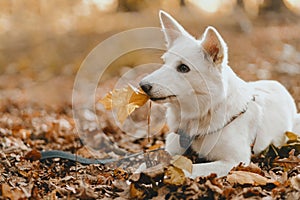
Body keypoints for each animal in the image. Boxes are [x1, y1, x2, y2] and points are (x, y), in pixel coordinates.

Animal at [139, 10, 298, 177]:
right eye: (165, 62)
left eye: (183, 68)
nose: (143, 85)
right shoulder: (171, 147)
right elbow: (144, 164)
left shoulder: (235, 161)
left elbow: (191, 168)